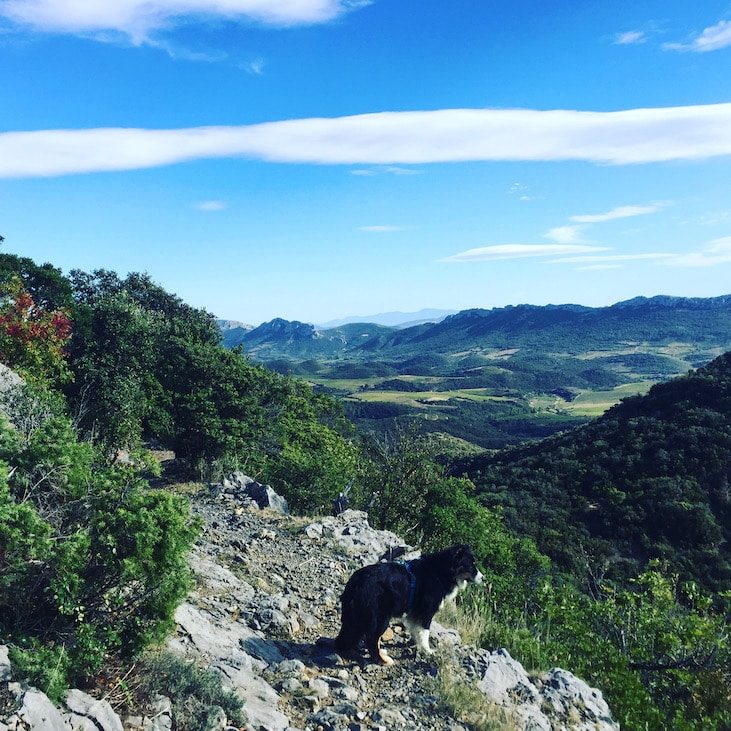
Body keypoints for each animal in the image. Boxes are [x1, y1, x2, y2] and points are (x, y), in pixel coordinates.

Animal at [334, 548, 484, 668]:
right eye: (471, 565)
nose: (483, 578)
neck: (442, 572)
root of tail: (355, 582)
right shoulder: (426, 611)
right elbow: (425, 632)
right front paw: (428, 651)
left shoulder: (414, 613)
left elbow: (416, 631)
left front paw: (415, 645)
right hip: (380, 616)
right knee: (371, 638)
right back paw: (383, 660)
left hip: (356, 615)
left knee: (346, 637)